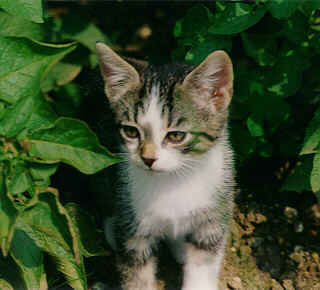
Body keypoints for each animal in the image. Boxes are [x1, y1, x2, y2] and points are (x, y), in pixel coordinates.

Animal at [95, 41, 235, 290]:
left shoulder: (214, 214)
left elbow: (204, 261)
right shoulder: (133, 226)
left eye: (176, 136)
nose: (148, 159)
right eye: (131, 132)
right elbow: (136, 274)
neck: (173, 180)